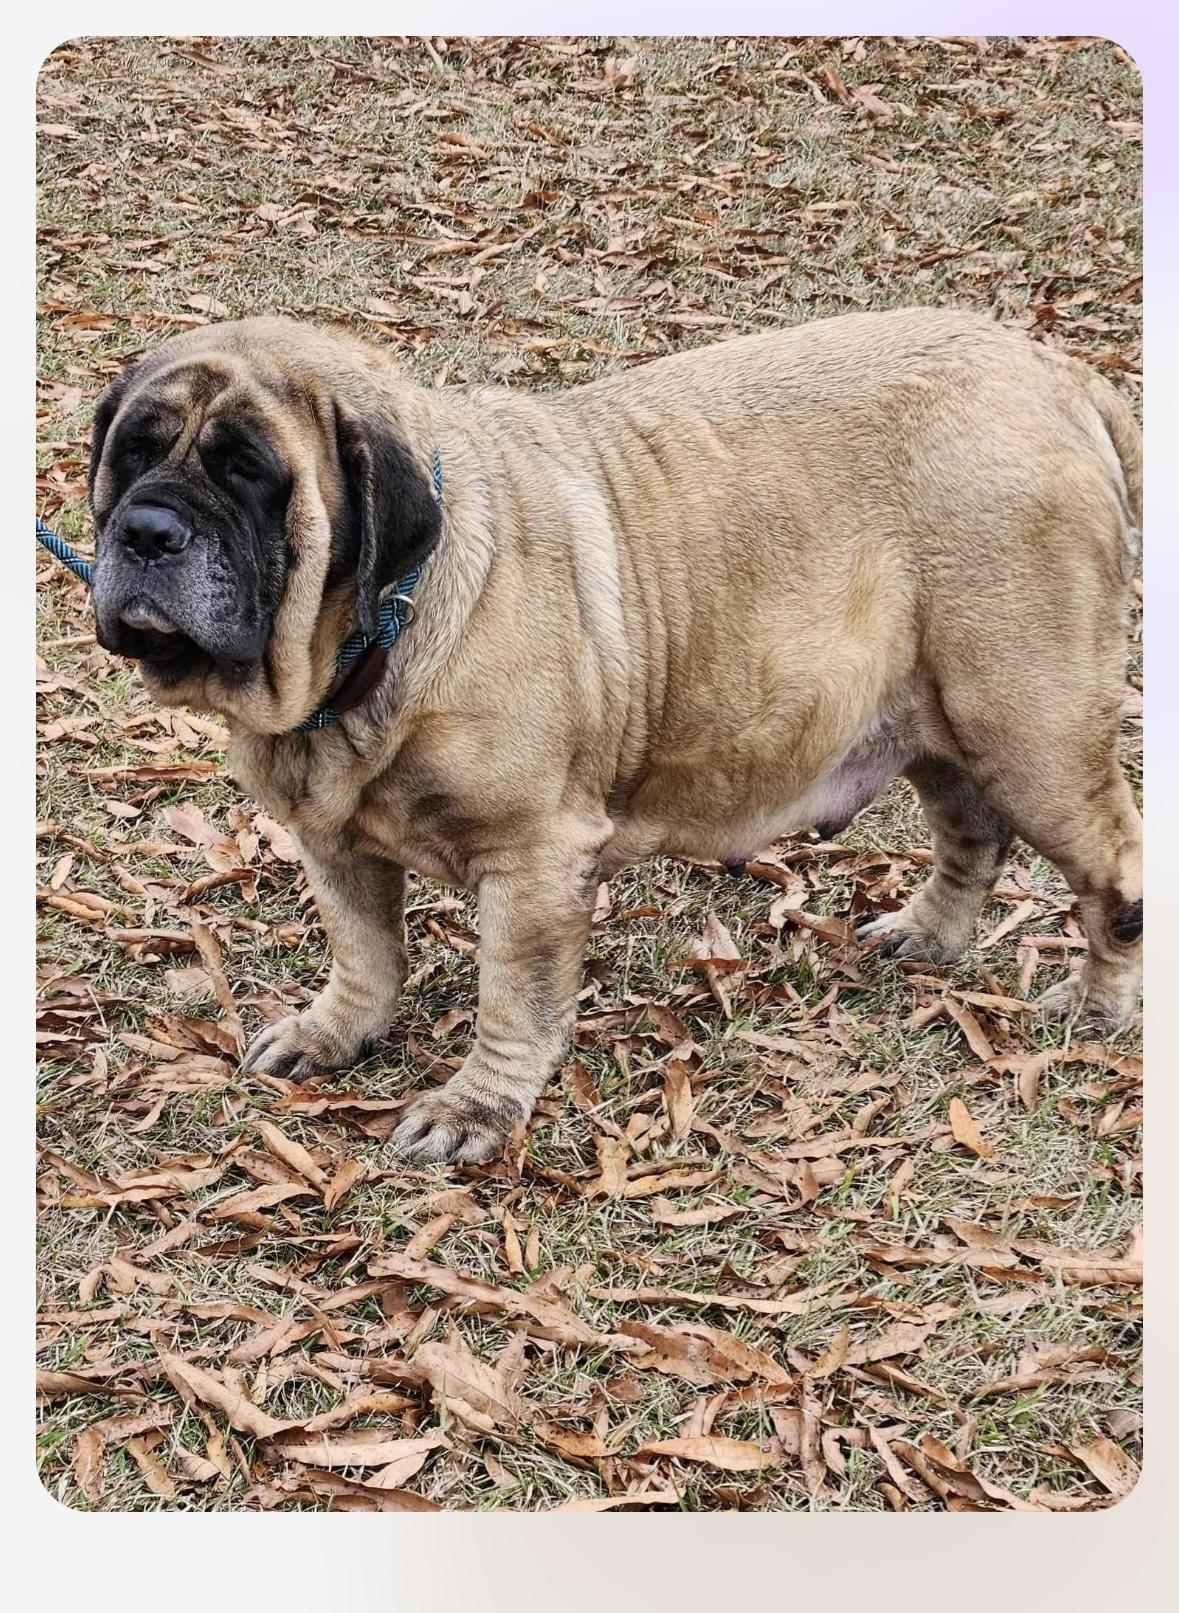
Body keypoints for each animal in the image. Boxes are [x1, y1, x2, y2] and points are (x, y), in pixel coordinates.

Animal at [87, 306, 1143, 1164]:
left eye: (252, 474)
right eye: (129, 455)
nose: (145, 530)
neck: (380, 625)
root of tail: (1058, 374)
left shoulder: (534, 860)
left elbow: (511, 996)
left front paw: (473, 1110)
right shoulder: (332, 840)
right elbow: (365, 952)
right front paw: (334, 1031)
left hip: (1028, 727)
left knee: (1116, 874)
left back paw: (1095, 1006)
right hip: (941, 720)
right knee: (972, 831)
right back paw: (928, 933)